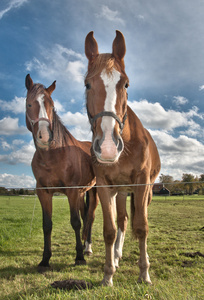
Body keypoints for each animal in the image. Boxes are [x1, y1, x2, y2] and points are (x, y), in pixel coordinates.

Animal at [25, 74, 98, 270]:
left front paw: (79, 257)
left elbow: (75, 222)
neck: (54, 155)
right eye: (29, 104)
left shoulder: (71, 192)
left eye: (51, 106)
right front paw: (45, 259)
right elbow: (47, 225)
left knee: (90, 216)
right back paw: (86, 247)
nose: (44, 136)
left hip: (93, 191)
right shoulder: (43, 192)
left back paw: (87, 249)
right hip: (82, 193)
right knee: (86, 214)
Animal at [85, 31, 161, 286]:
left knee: (132, 220)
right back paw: (117, 256)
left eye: (126, 83)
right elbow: (109, 229)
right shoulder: (104, 185)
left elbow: (142, 227)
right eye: (87, 84)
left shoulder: (141, 183)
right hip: (120, 191)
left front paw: (144, 273)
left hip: (143, 190)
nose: (108, 147)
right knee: (122, 220)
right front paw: (108, 274)